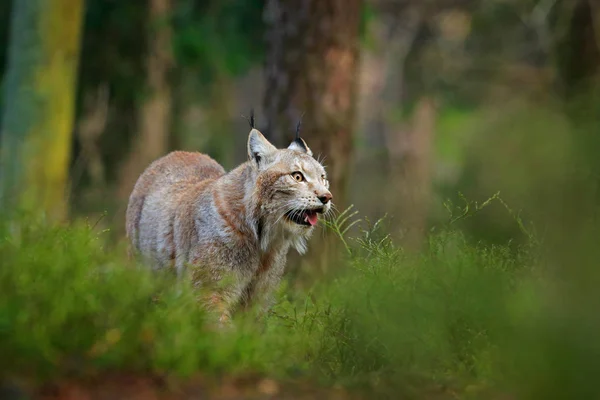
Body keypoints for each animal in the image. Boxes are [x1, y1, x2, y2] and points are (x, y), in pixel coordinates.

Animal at [126, 122, 332, 322]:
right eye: (297, 176)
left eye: (323, 178)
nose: (327, 197)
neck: (262, 239)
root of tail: (177, 153)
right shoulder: (209, 291)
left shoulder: (258, 298)